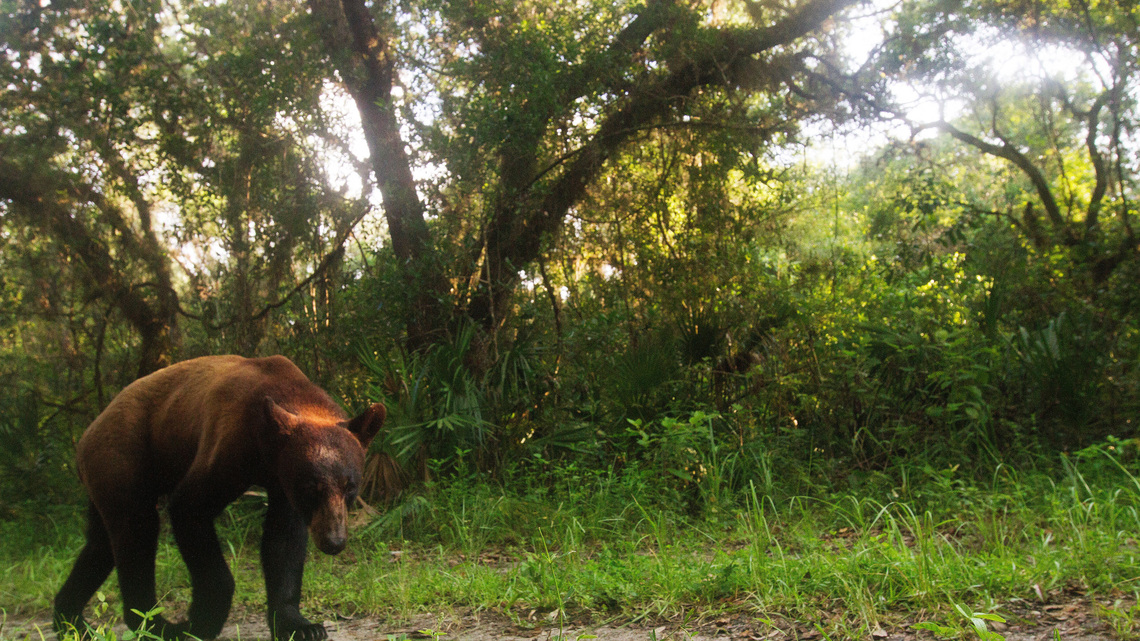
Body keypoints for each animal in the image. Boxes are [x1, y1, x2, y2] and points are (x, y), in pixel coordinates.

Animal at [52, 355, 386, 641]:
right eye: (311, 487)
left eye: (350, 486)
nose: (333, 541)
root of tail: (87, 435)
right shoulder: (230, 442)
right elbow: (190, 507)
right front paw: (201, 619)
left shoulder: (282, 481)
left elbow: (284, 543)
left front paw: (300, 625)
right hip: (123, 455)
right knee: (136, 531)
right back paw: (156, 624)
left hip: (105, 478)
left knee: (100, 545)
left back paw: (70, 620)